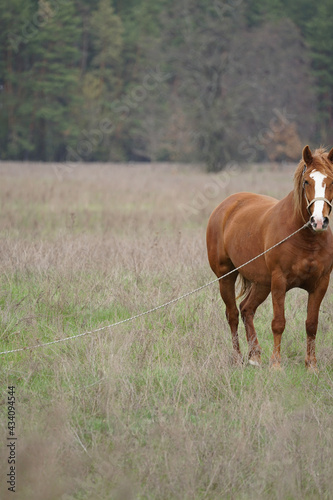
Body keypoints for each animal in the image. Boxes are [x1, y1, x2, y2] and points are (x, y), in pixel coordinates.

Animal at [206, 146, 332, 370]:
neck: (306, 239)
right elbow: (278, 323)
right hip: (226, 276)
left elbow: (311, 324)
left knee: (246, 309)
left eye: (332, 181)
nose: (319, 221)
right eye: (307, 181)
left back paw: (255, 356)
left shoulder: (321, 284)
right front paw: (276, 364)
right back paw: (238, 358)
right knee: (232, 314)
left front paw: (311, 365)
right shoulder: (279, 282)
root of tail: (226, 205)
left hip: (262, 283)